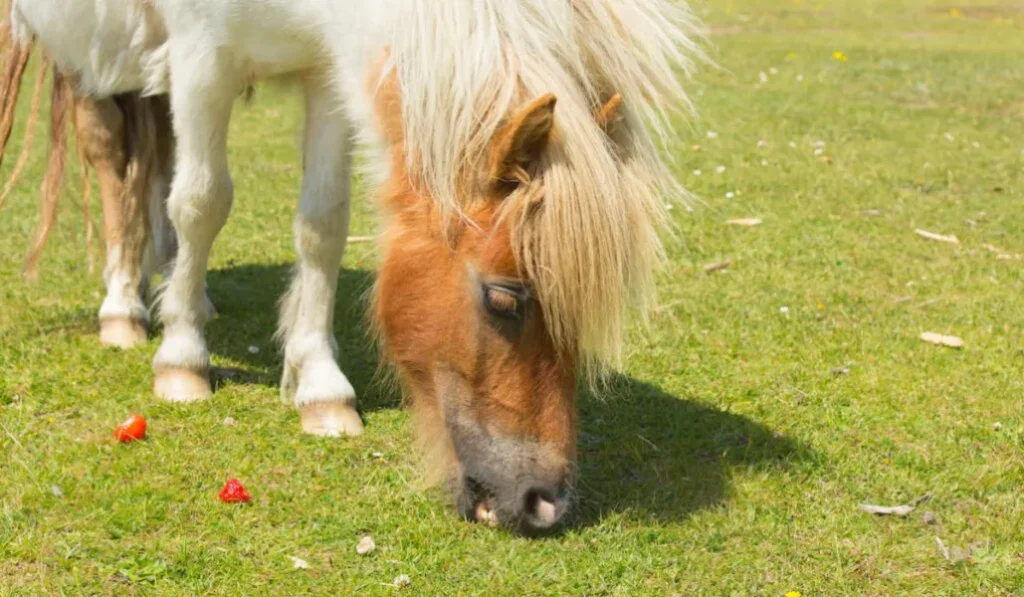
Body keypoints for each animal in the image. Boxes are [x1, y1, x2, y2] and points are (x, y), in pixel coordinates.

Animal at [8, 0, 708, 532]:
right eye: (505, 298)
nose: (546, 505)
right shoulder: (203, 59)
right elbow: (203, 201)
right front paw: (182, 360)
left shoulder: (327, 70)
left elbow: (322, 222)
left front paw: (320, 387)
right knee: (112, 156)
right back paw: (125, 307)